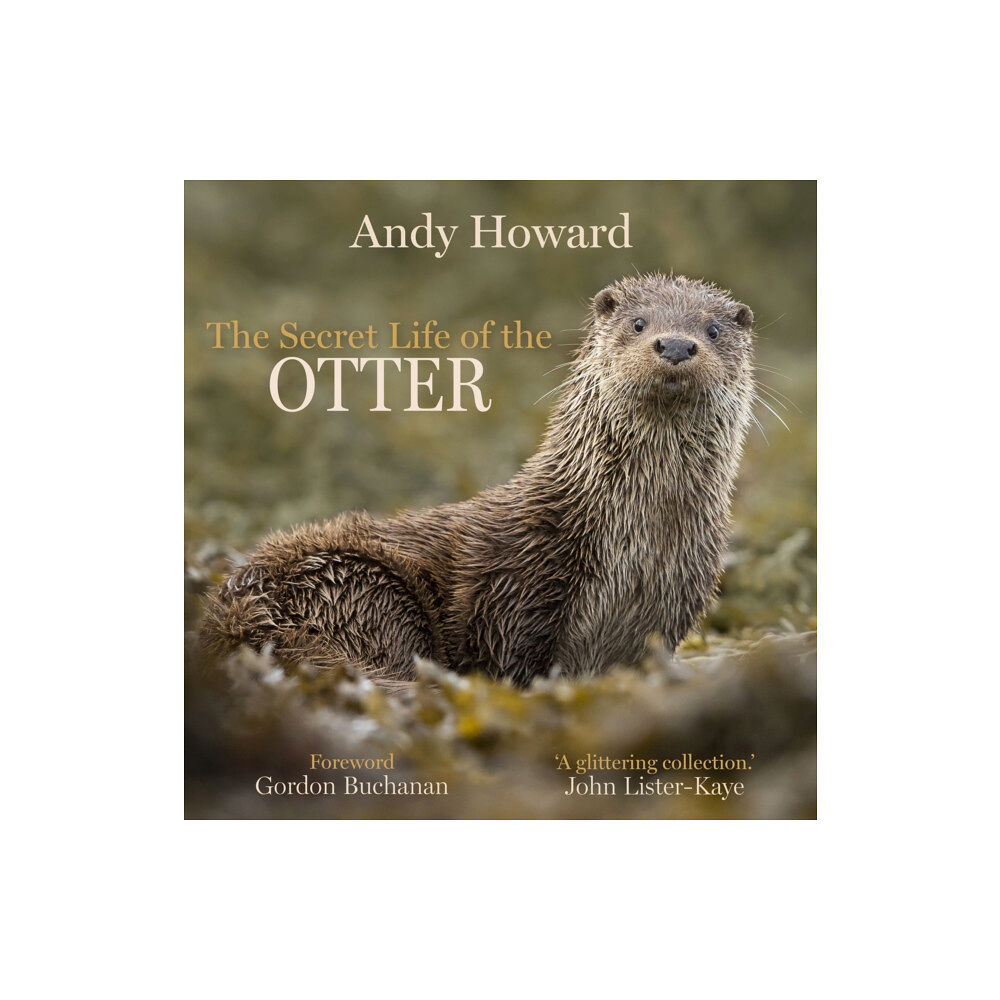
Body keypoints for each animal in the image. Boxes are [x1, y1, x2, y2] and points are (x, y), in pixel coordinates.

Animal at [201, 273, 755, 685]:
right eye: (639, 323)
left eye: (713, 330)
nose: (677, 345)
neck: (638, 546)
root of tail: (236, 615)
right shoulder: (512, 591)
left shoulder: (672, 603)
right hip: (362, 587)